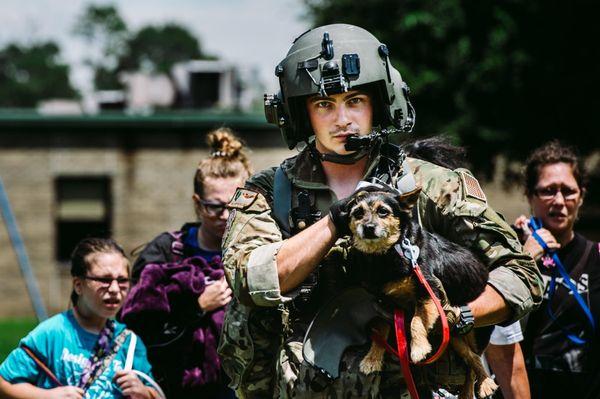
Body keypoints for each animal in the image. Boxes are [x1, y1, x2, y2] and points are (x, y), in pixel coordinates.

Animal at [346, 189, 496, 399]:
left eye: (383, 211)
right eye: (358, 213)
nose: (368, 228)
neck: (390, 253)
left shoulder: (429, 292)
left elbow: (416, 321)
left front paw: (418, 348)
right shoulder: (385, 303)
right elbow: (380, 330)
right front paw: (372, 359)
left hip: (472, 332)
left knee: (474, 360)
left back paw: (484, 384)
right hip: (454, 336)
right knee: (470, 358)